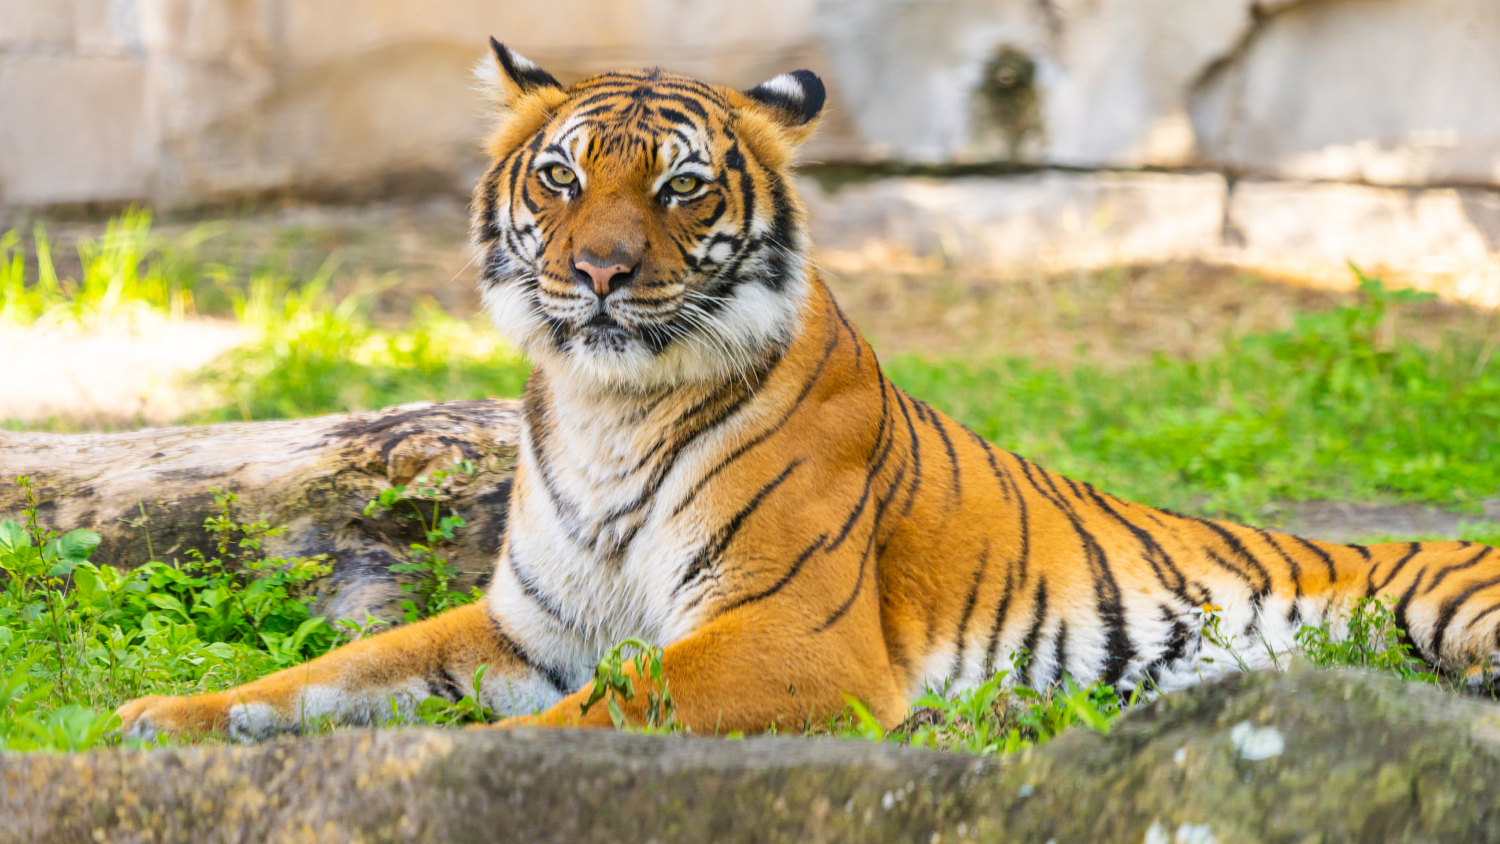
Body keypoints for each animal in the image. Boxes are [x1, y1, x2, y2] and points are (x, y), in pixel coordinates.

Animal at [117, 40, 1500, 742]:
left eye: (679, 187)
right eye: (563, 176)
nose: (599, 273)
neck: (613, 409)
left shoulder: (789, 637)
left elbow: (601, 716)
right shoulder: (527, 629)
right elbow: (335, 672)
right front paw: (164, 714)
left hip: (1455, 610)